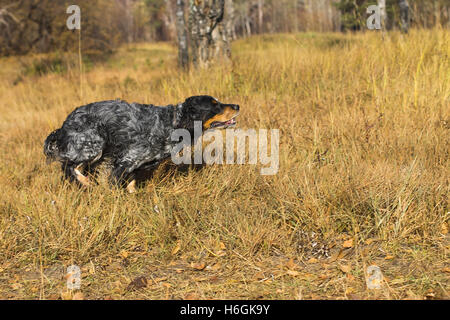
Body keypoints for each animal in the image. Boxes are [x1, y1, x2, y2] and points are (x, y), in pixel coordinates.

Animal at [44, 95, 241, 192]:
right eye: (215, 105)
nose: (237, 106)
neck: (172, 123)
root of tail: (64, 125)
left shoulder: (137, 165)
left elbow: (131, 185)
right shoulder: (126, 160)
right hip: (92, 145)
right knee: (69, 167)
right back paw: (86, 183)